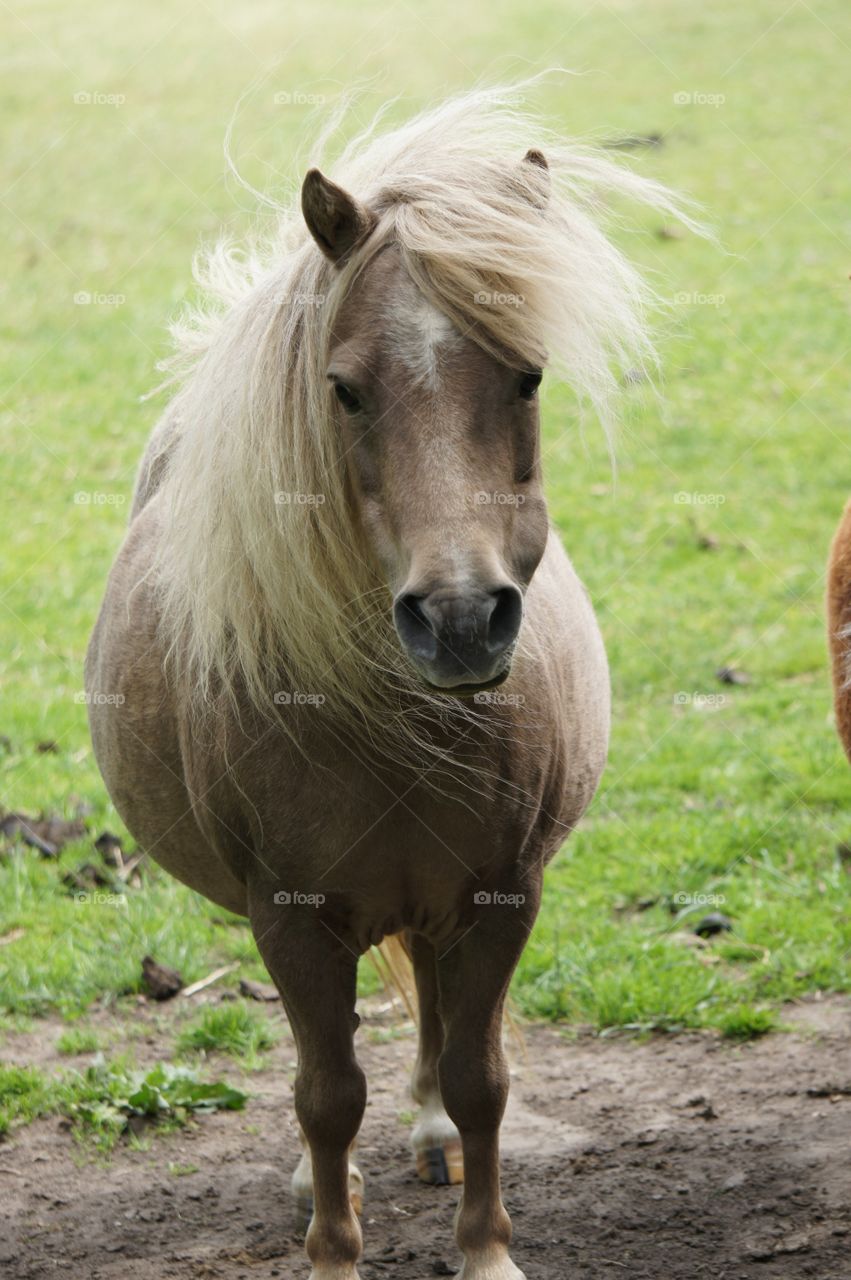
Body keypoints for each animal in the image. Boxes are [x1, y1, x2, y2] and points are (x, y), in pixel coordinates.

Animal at [86, 87, 688, 1280]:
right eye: (346, 390)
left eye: (527, 374)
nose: (457, 619)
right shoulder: (288, 920)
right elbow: (325, 1095)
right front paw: (332, 1247)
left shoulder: (502, 898)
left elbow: (479, 1076)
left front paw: (486, 1248)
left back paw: (428, 1137)